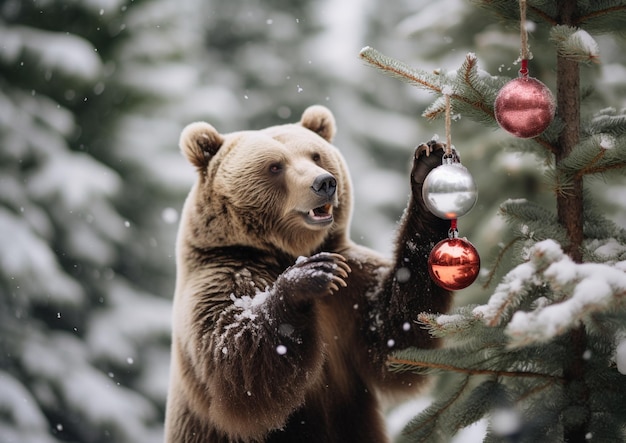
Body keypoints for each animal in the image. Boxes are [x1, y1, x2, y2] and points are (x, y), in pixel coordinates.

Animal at [163, 106, 450, 442]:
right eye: (275, 166)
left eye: (316, 155)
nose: (324, 183)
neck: (285, 251)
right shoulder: (224, 276)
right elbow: (235, 369)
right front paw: (308, 276)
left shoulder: (351, 290)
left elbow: (395, 335)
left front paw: (430, 169)